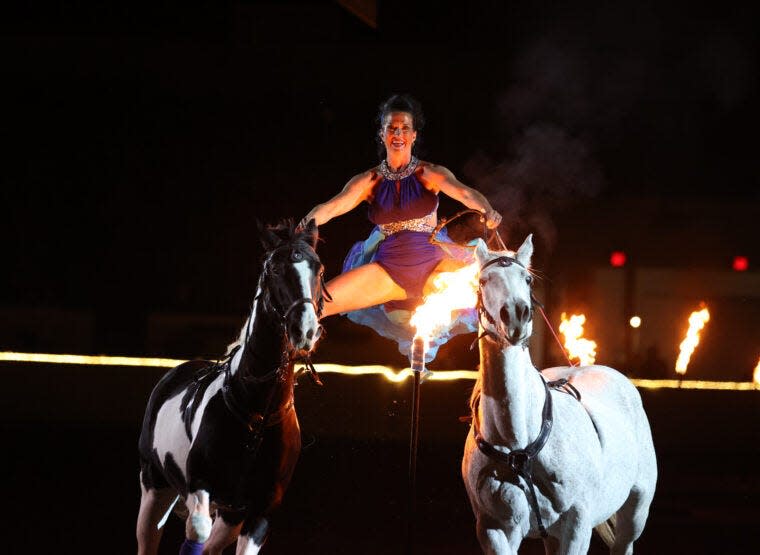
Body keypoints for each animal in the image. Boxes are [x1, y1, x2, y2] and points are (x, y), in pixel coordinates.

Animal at [137, 222, 326, 555]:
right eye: (275, 269)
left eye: (318, 268)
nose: (304, 329)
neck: (257, 416)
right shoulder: (200, 486)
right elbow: (197, 530)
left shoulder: (259, 513)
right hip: (153, 487)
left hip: (230, 515)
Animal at [460, 237, 656, 552]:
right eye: (483, 280)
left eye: (527, 279)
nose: (515, 315)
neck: (519, 445)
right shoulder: (494, 530)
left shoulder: (576, 526)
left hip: (636, 510)